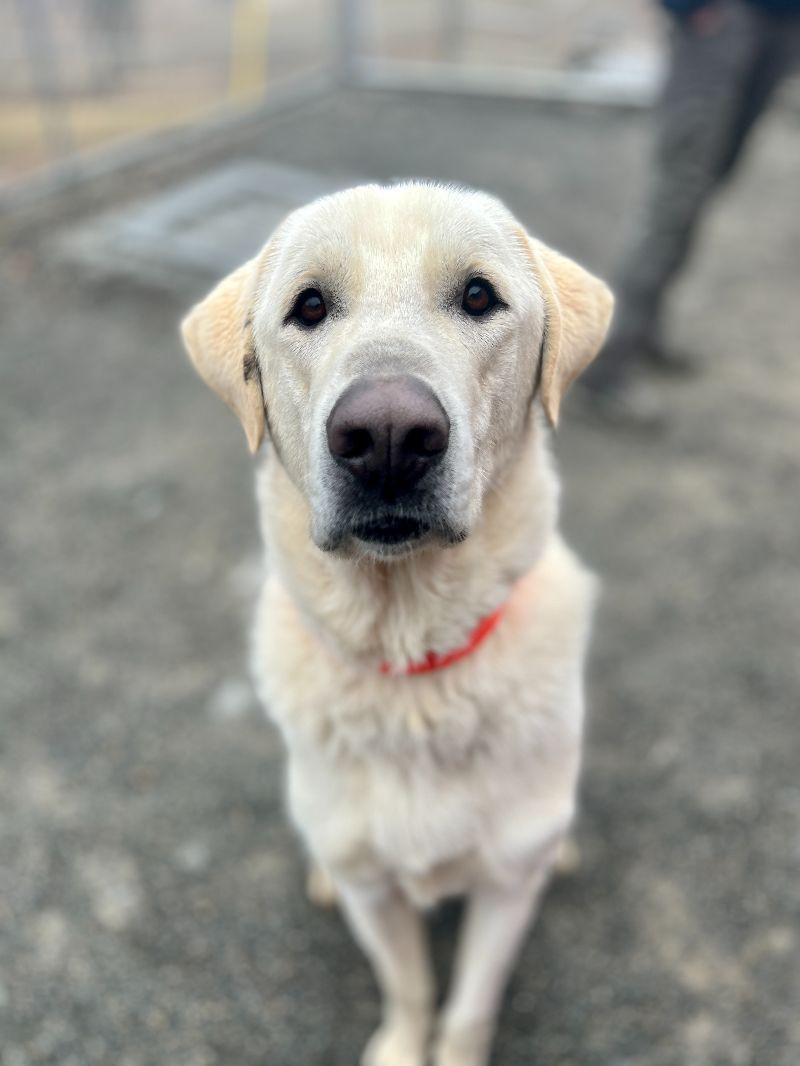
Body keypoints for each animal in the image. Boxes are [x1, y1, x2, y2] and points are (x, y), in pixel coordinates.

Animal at [183, 185, 614, 1066]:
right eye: (309, 306)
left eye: (479, 296)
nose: (386, 435)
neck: (412, 662)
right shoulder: (373, 892)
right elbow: (409, 986)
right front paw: (401, 1045)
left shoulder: (504, 889)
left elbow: (470, 1005)